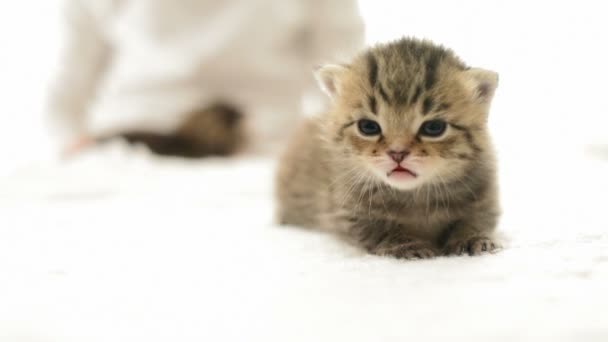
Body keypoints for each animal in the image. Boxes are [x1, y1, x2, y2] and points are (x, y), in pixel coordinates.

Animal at [278, 38, 502, 260]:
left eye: (434, 128)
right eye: (368, 127)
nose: (397, 153)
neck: (414, 197)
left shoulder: (485, 198)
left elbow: (474, 219)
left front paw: (471, 238)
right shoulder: (346, 211)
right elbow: (380, 229)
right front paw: (406, 244)